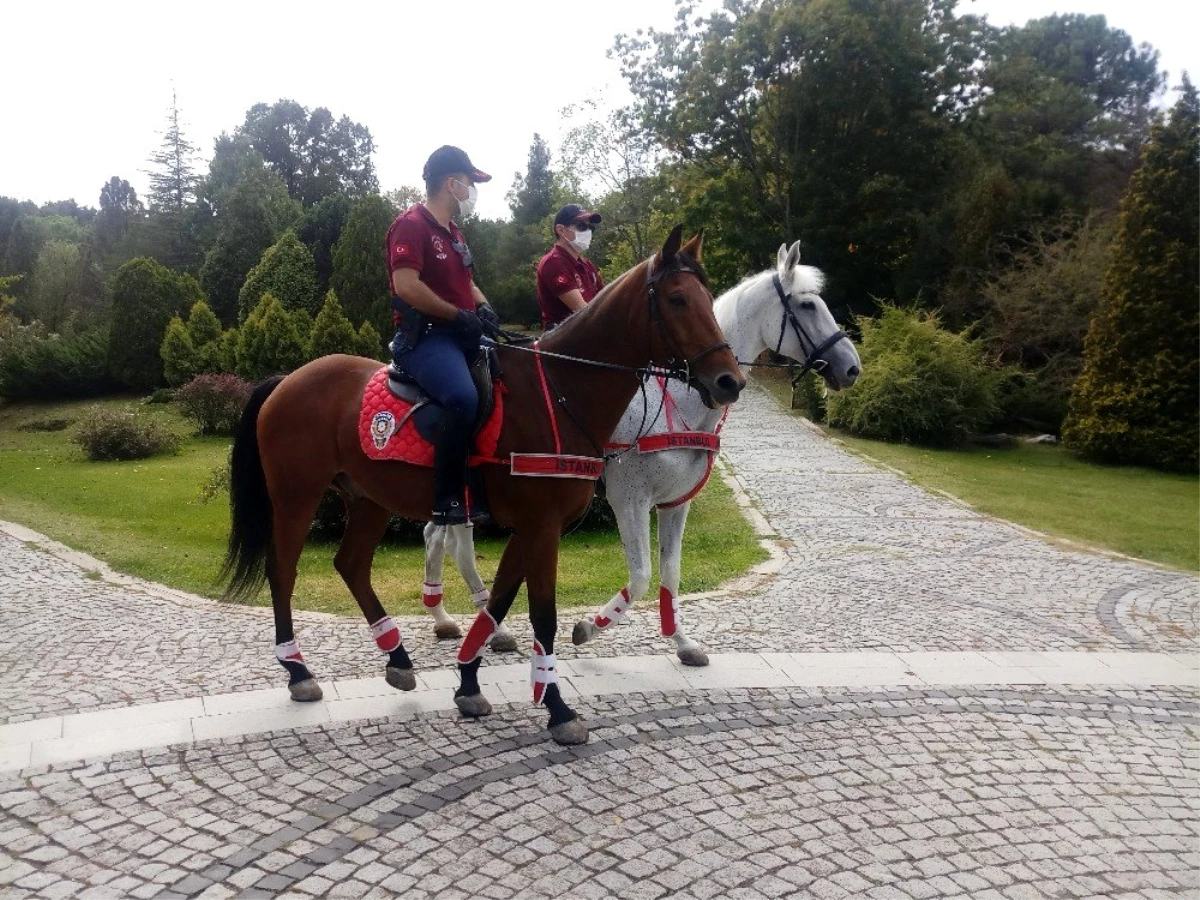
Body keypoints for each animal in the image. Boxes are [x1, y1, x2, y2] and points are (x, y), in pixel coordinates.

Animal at [220, 226, 734, 748]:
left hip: (368, 500)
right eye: (676, 299)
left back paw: (396, 656)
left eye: (707, 298)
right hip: (296, 497)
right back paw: (298, 670)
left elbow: (500, 604)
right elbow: (542, 616)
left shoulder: (533, 528)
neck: (559, 390)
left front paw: (468, 682)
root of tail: (288, 378)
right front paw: (556, 707)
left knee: (351, 565)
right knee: (282, 571)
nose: (729, 380)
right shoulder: (542, 526)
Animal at [417, 243, 859, 667]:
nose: (851, 367)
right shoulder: (629, 499)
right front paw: (588, 628)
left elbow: (671, 573)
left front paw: (682, 643)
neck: (679, 401)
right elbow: (643, 574)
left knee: (436, 535)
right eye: (807, 305)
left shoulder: (675, 502)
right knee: (458, 546)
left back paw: (445, 619)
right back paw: (490, 629)